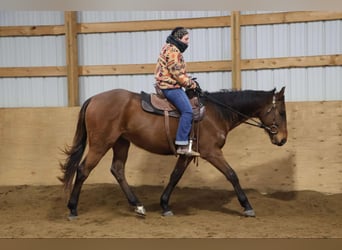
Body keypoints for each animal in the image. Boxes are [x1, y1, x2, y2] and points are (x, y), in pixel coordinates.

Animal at [58, 86, 286, 219]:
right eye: (282, 112)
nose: (282, 139)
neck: (216, 113)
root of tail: (93, 99)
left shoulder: (186, 154)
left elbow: (175, 176)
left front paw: (165, 205)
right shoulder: (212, 152)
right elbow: (232, 174)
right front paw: (247, 206)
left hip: (121, 142)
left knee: (118, 170)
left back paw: (138, 206)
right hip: (101, 143)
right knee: (83, 170)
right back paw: (72, 208)